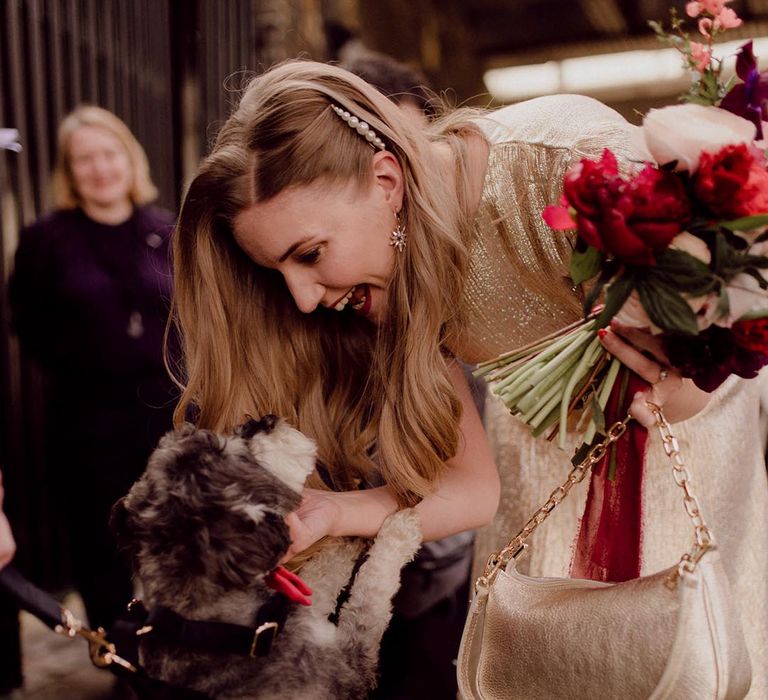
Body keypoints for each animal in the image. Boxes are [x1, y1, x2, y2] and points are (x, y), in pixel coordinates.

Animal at [114, 416, 424, 700]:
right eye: (236, 453)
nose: (265, 420)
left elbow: (320, 579)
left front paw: (342, 544)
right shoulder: (350, 665)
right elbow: (371, 596)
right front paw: (400, 530)